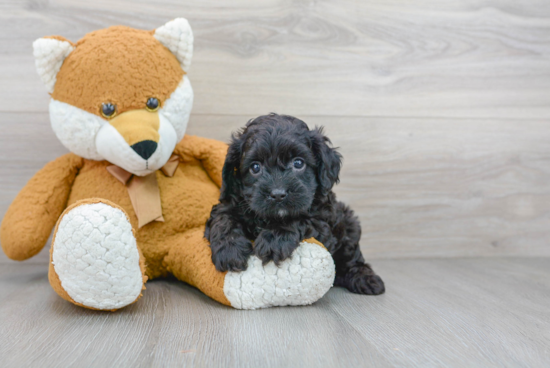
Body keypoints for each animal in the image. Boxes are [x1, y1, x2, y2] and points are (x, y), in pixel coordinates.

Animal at [205, 113, 386, 294]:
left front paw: (273, 240)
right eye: (255, 167)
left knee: (351, 257)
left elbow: (300, 219)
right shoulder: (231, 202)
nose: (278, 194)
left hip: (349, 224)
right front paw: (230, 250)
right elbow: (223, 217)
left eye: (298, 163)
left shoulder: (323, 220)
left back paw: (365, 279)